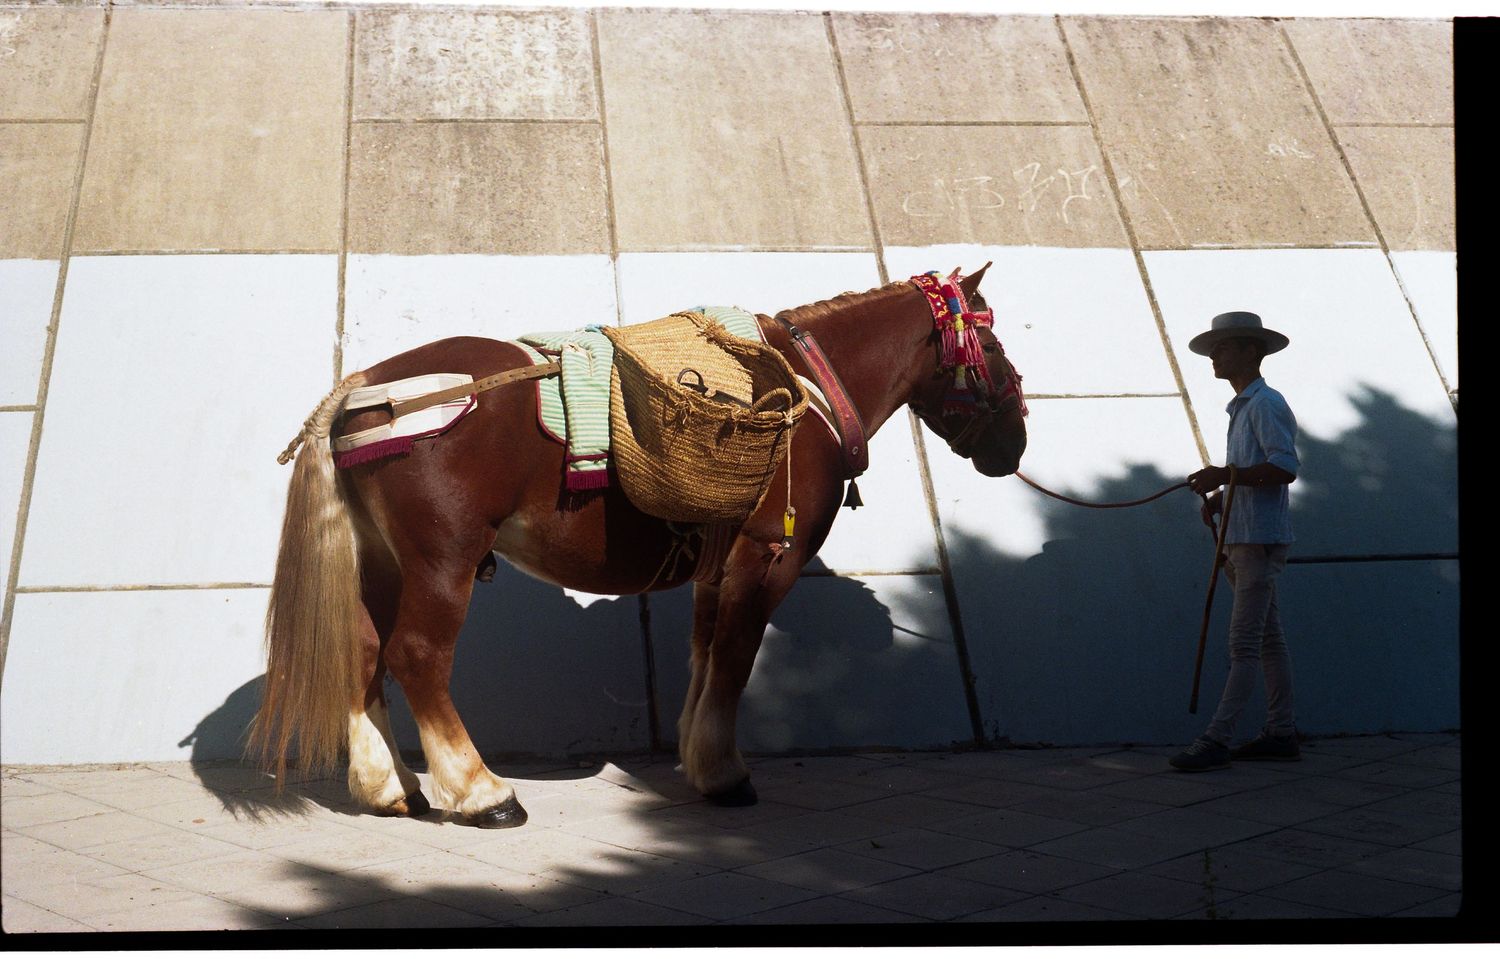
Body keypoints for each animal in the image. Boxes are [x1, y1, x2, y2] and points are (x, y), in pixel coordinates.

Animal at [250, 265, 1027, 827]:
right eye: (991, 347)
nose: (1015, 444)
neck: (807, 389)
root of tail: (364, 390)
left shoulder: (718, 568)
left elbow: (706, 652)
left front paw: (696, 755)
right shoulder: (766, 558)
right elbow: (736, 658)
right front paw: (724, 773)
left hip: (383, 561)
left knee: (365, 651)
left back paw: (389, 785)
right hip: (443, 561)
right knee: (417, 655)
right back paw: (482, 793)